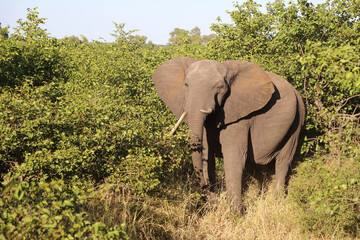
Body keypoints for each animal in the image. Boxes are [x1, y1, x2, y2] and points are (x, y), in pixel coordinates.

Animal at [151, 56, 304, 210]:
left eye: (219, 87)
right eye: (186, 84)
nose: (204, 185)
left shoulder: (239, 115)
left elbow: (234, 155)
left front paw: (235, 213)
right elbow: (206, 153)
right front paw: (214, 208)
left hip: (298, 119)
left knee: (283, 160)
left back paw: (277, 202)